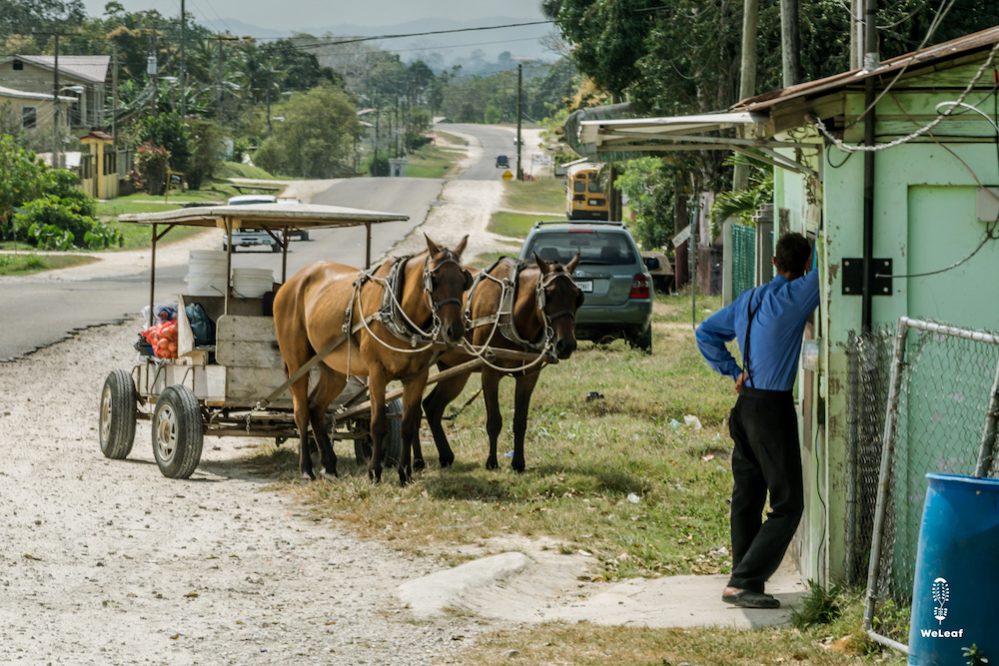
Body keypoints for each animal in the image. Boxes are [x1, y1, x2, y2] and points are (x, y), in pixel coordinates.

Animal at [274, 233, 472, 482]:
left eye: (464, 280)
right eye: (434, 279)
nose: (454, 330)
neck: (395, 308)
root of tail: (291, 282)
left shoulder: (417, 376)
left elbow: (408, 424)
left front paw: (404, 474)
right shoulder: (377, 373)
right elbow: (378, 424)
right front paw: (375, 472)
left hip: (333, 369)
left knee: (316, 410)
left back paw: (329, 466)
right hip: (297, 363)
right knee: (301, 412)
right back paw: (307, 469)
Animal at [418, 252, 584, 470]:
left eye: (577, 296)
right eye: (548, 294)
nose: (567, 344)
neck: (509, 309)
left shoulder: (528, 377)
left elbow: (520, 421)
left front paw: (518, 463)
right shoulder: (490, 372)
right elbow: (494, 421)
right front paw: (492, 462)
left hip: (456, 372)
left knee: (431, 407)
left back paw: (445, 456)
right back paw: (417, 460)